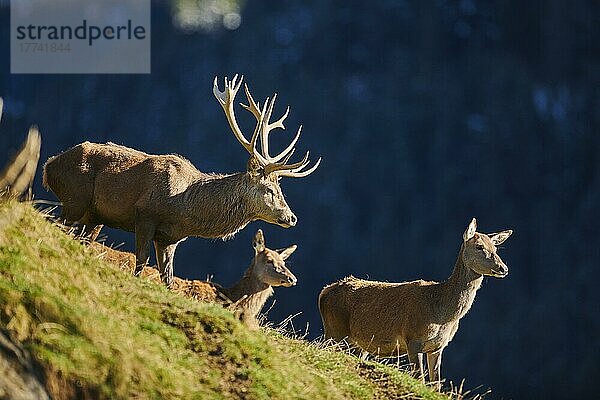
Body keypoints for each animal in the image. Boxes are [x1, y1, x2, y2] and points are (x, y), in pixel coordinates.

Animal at [43, 75, 318, 286]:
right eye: (269, 189)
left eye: (280, 188)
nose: (292, 217)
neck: (184, 208)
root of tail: (49, 166)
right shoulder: (144, 214)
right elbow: (140, 262)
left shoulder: (169, 238)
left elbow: (168, 278)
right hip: (74, 197)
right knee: (55, 223)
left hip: (94, 215)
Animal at [318, 219, 510, 390]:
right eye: (479, 246)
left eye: (495, 248)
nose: (503, 268)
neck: (442, 315)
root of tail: (324, 292)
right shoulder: (413, 338)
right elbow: (420, 379)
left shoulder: (437, 347)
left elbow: (435, 384)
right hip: (334, 330)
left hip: (359, 344)